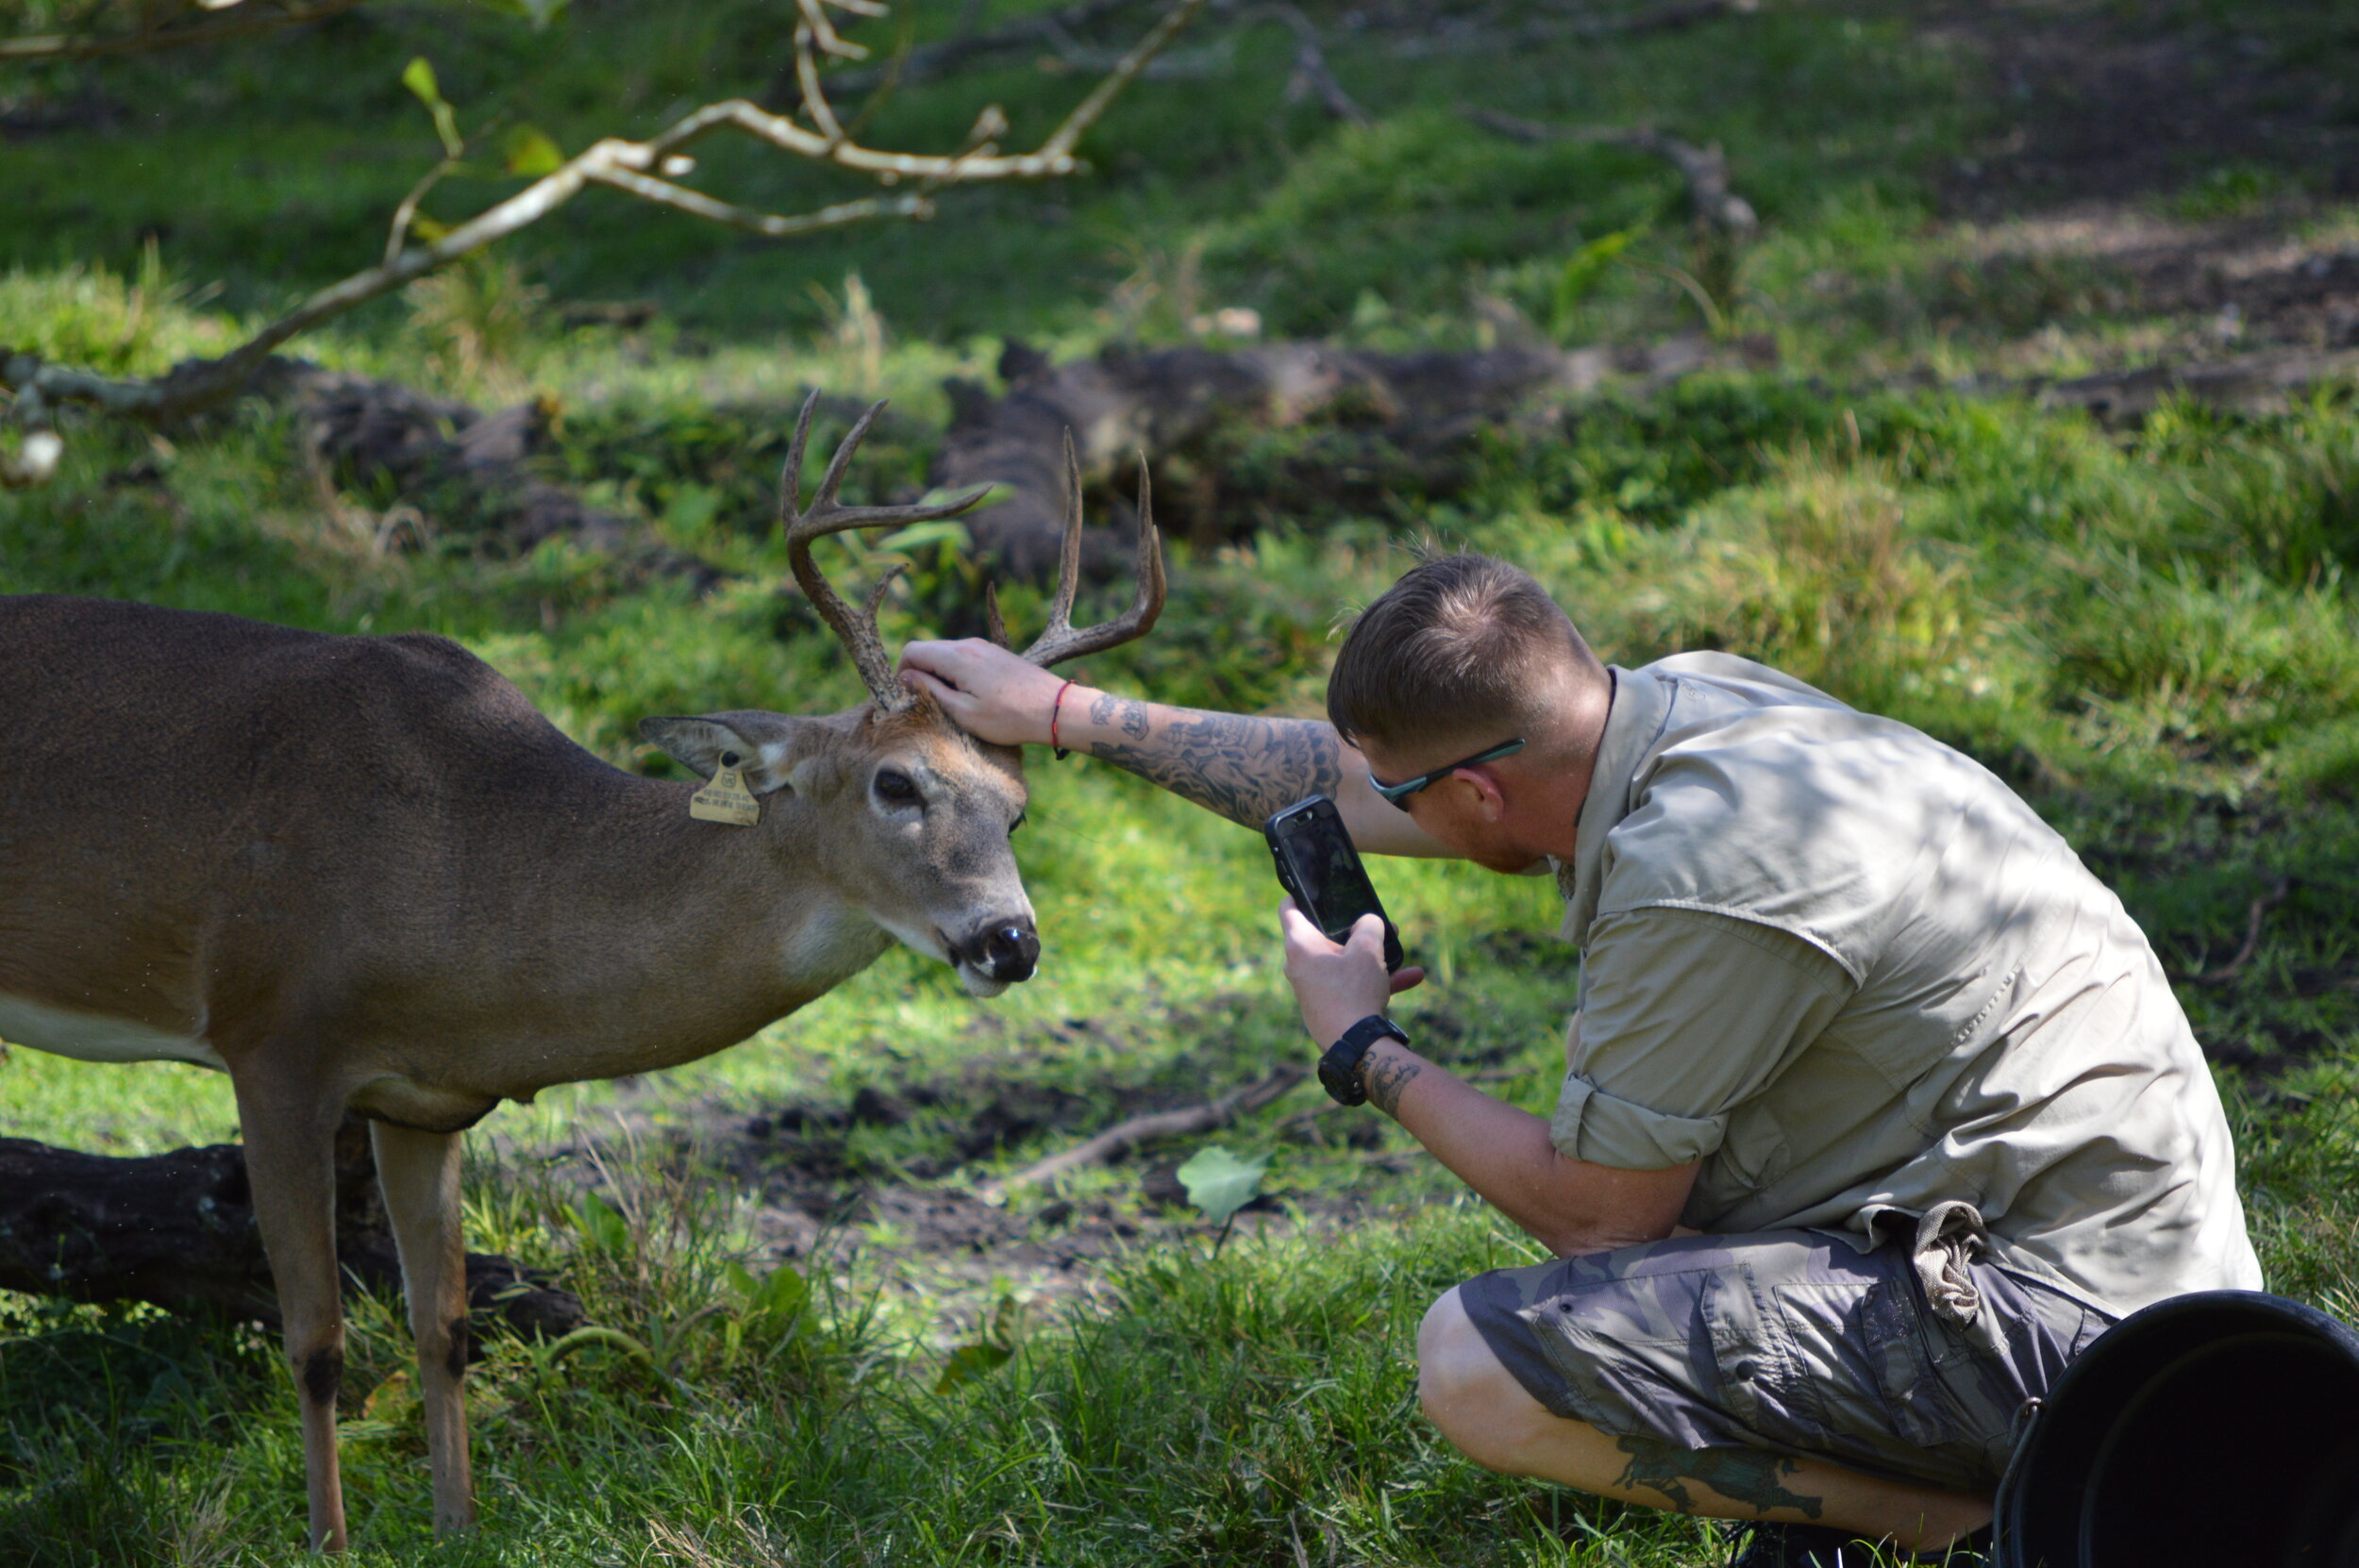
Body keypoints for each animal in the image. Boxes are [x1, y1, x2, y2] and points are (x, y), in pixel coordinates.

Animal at [0, 391, 1161, 1537]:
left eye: (1018, 808)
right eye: (896, 784)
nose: (1011, 939)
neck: (465, 861)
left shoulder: (421, 1096)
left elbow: (443, 1327)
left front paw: (458, 1529)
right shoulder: (271, 1038)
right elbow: (317, 1340)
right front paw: (326, 1544)